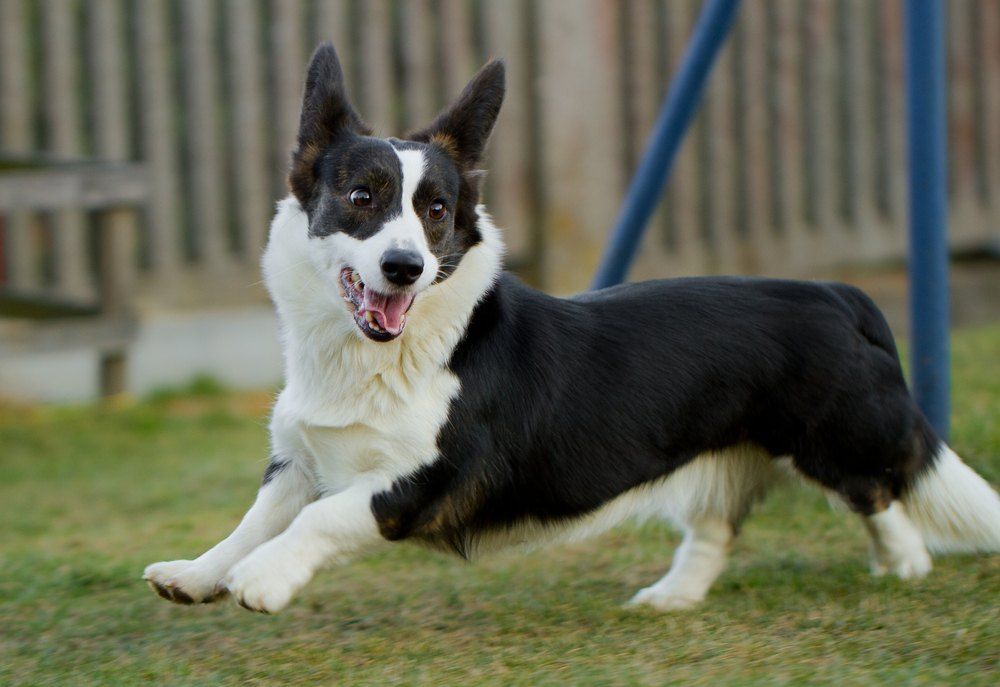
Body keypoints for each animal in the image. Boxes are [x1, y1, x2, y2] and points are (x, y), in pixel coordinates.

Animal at [146, 43, 1000, 612]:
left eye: (437, 211)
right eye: (362, 197)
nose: (405, 267)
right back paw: (670, 597)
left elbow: (322, 516)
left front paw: (262, 581)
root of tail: (834, 291)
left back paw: (905, 565)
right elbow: (255, 518)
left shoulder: (425, 479)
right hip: (729, 451)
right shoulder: (297, 458)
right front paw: (195, 574)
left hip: (833, 438)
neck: (368, 358)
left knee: (880, 490)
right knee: (719, 523)